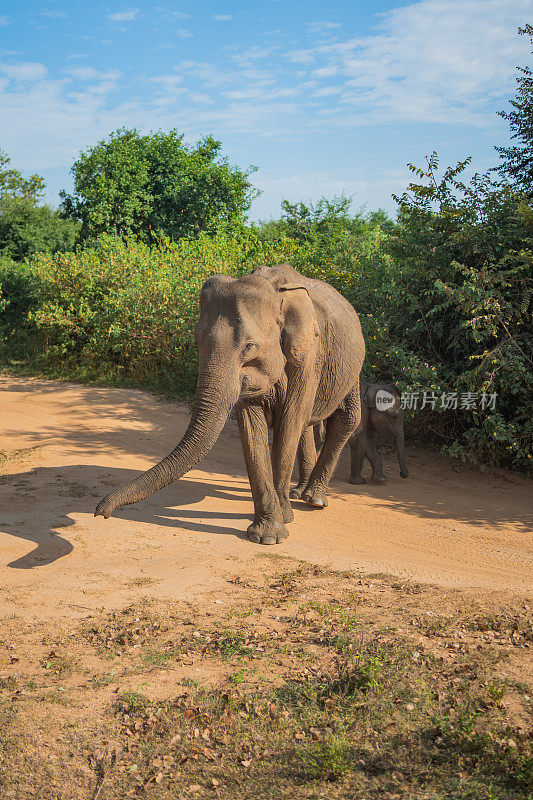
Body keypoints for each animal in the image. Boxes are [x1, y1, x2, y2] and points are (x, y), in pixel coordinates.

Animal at [93, 262, 364, 544]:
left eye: (250, 346)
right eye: (197, 341)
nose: (100, 512)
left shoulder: (308, 357)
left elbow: (289, 422)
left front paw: (283, 523)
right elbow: (251, 428)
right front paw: (266, 535)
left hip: (352, 366)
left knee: (344, 418)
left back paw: (314, 500)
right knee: (308, 425)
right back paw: (298, 494)